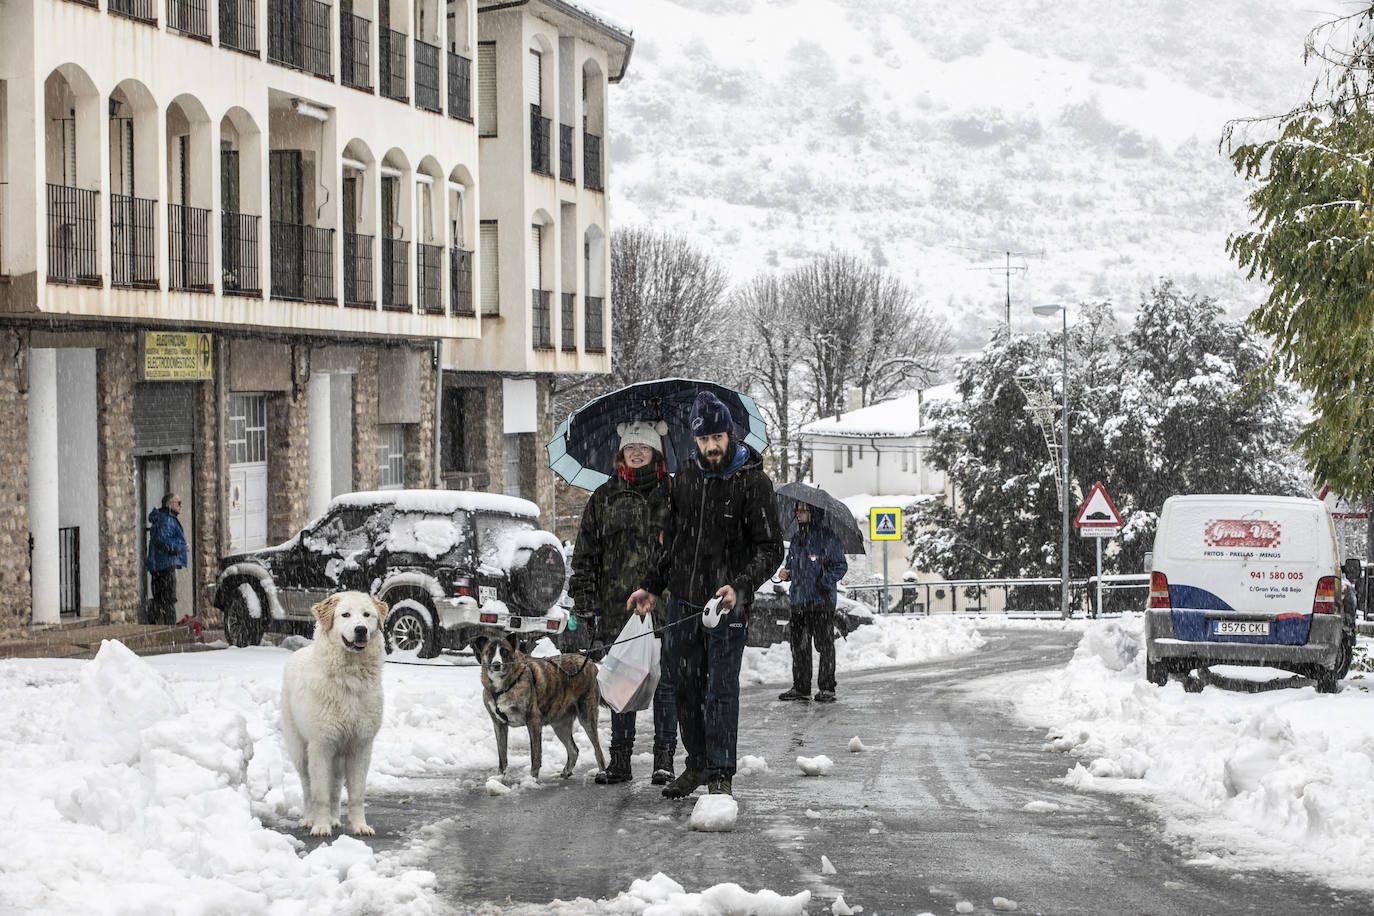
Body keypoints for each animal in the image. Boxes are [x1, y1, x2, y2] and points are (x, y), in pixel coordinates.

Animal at [278, 596, 387, 840]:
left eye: (367, 615)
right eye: (345, 615)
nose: (361, 630)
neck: (350, 676)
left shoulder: (360, 746)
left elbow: (356, 794)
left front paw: (359, 826)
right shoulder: (321, 746)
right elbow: (319, 793)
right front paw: (320, 827)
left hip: (338, 756)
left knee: (335, 787)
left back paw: (335, 819)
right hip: (300, 750)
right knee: (307, 786)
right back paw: (310, 819)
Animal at [475, 637, 610, 780]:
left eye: (504, 651)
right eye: (490, 651)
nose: (496, 664)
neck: (503, 686)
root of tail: (590, 663)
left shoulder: (533, 721)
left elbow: (535, 755)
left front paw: (532, 779)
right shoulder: (499, 725)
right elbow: (502, 756)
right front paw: (500, 777)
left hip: (586, 717)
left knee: (598, 751)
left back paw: (602, 773)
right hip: (560, 725)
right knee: (574, 750)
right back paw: (566, 771)